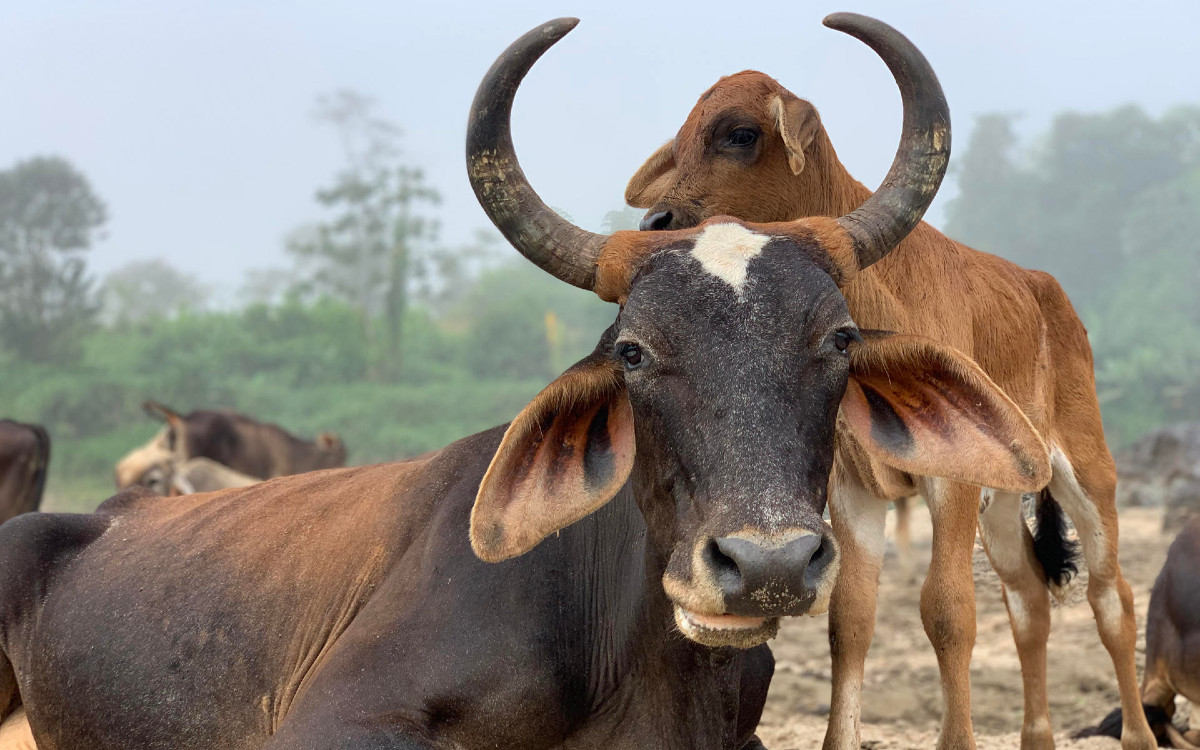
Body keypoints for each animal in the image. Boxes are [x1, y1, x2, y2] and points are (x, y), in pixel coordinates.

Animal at [619, 23, 1152, 748]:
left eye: (740, 133)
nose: (658, 223)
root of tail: (1048, 293)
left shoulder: (950, 482)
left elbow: (947, 611)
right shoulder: (854, 487)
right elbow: (850, 619)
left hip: (1088, 473)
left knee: (1110, 597)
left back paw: (1140, 733)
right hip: (1004, 504)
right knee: (1027, 601)